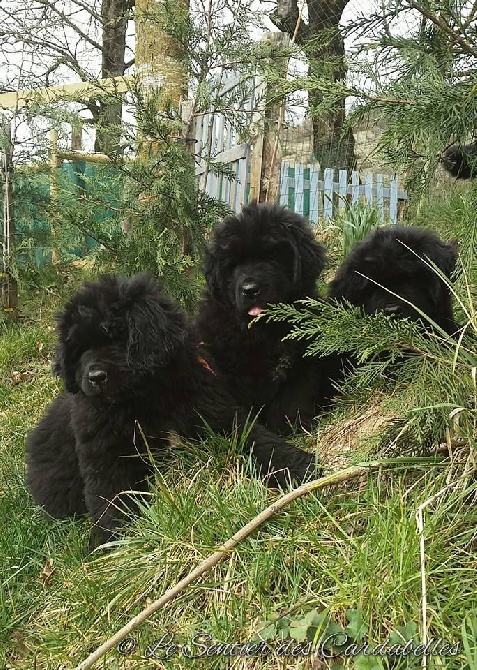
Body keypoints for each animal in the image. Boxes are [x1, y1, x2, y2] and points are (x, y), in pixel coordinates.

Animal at [27, 272, 316, 552]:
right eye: (80, 349)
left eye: (117, 337)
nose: (95, 377)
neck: (142, 399)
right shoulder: (104, 451)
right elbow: (109, 496)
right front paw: (112, 545)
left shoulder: (212, 411)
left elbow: (255, 440)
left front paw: (299, 466)